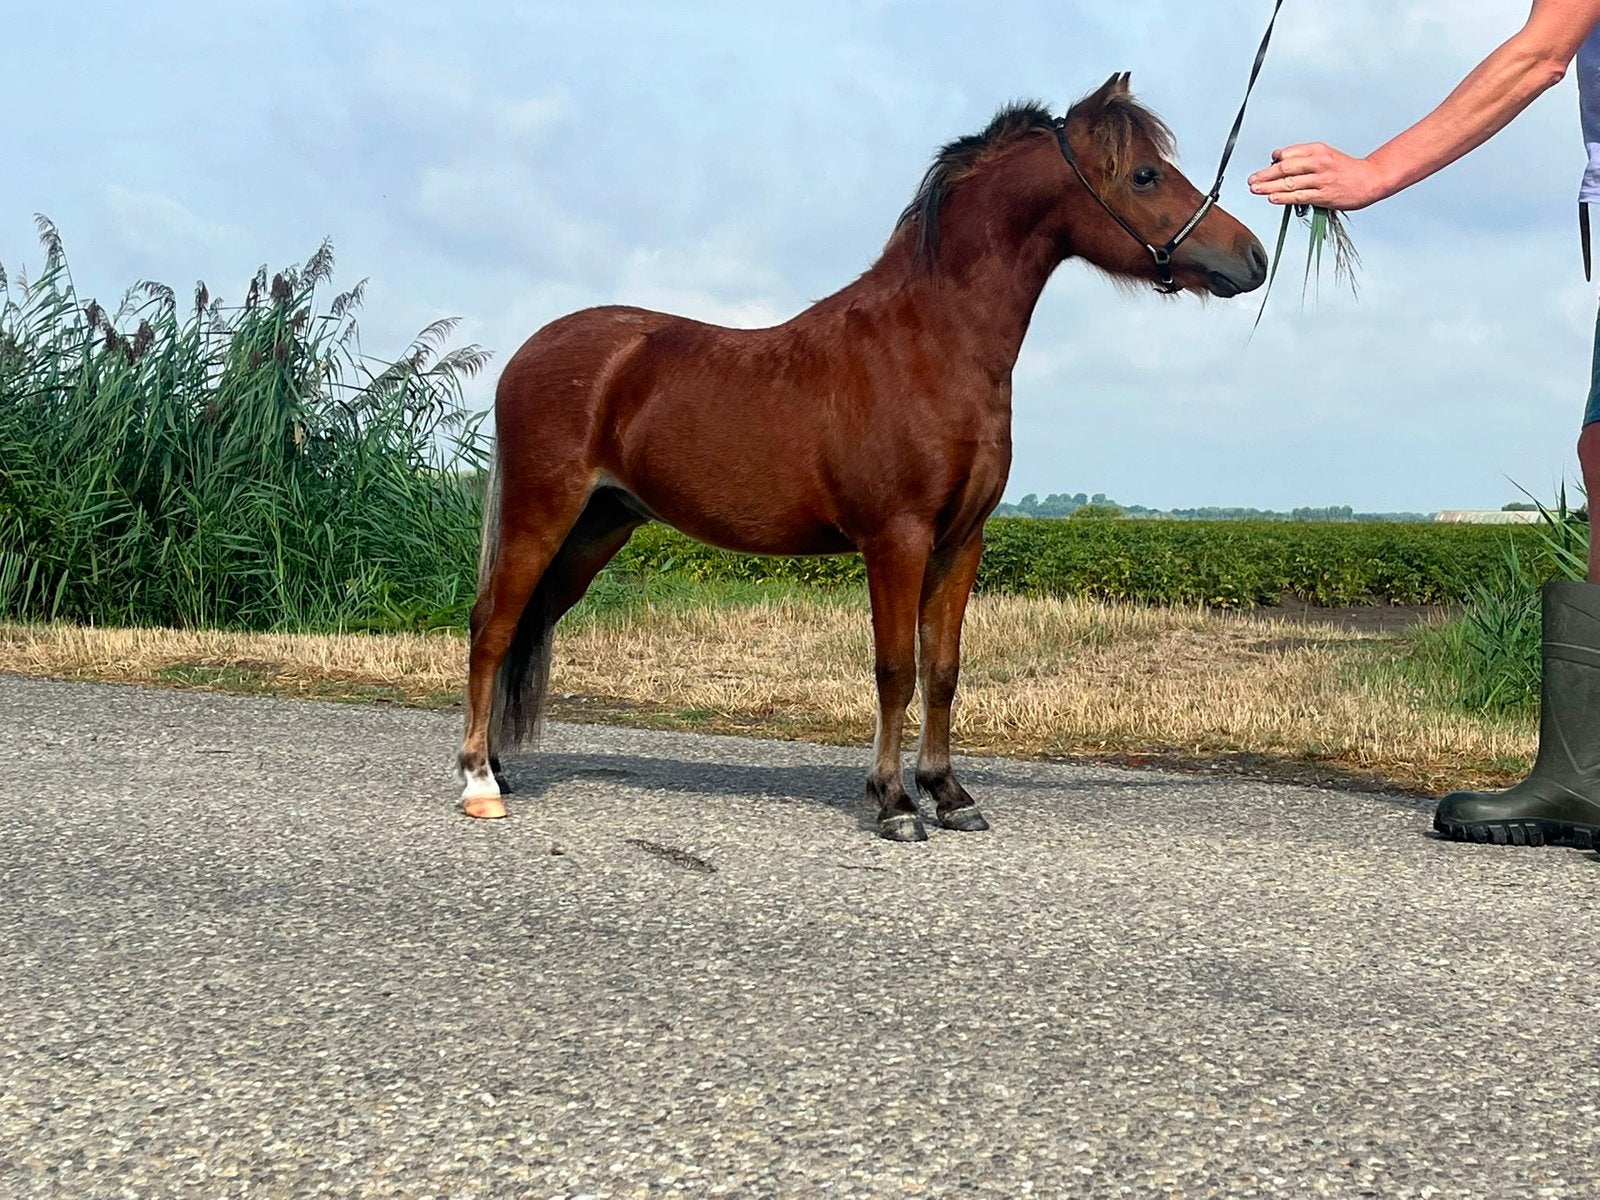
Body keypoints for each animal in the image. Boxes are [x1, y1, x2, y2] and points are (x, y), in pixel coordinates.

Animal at [458, 73, 1268, 841]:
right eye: (1145, 176)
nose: (1252, 256)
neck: (930, 343)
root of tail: (531, 351)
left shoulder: (961, 542)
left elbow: (942, 670)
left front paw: (950, 794)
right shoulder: (896, 538)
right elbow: (895, 670)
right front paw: (894, 803)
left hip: (598, 528)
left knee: (525, 622)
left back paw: (499, 766)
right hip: (541, 514)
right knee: (491, 625)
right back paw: (478, 783)